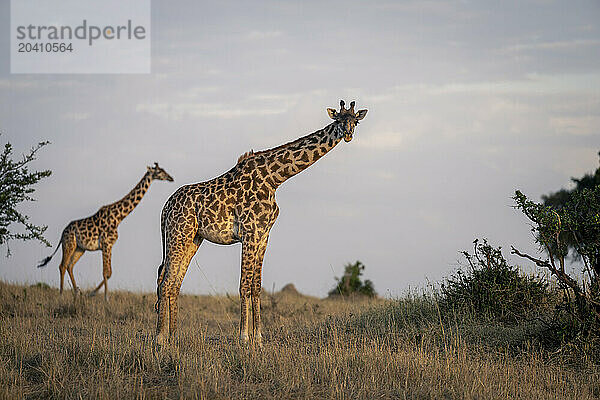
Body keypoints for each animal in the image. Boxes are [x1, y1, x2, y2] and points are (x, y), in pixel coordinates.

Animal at [37, 162, 173, 300]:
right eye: (159, 172)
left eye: (164, 170)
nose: (170, 178)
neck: (119, 217)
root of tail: (62, 233)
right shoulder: (106, 243)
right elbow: (106, 272)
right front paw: (105, 297)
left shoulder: (110, 245)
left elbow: (109, 272)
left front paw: (93, 293)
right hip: (69, 244)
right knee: (62, 265)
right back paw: (61, 295)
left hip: (80, 248)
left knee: (70, 266)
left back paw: (77, 293)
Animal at [156, 98, 366, 346]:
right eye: (338, 120)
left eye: (355, 121)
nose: (348, 134)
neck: (275, 179)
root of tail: (165, 208)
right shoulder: (249, 232)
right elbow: (243, 285)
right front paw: (244, 337)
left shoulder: (264, 235)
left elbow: (256, 286)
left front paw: (258, 338)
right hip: (178, 234)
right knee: (165, 281)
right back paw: (160, 339)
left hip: (192, 238)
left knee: (174, 282)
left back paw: (174, 337)